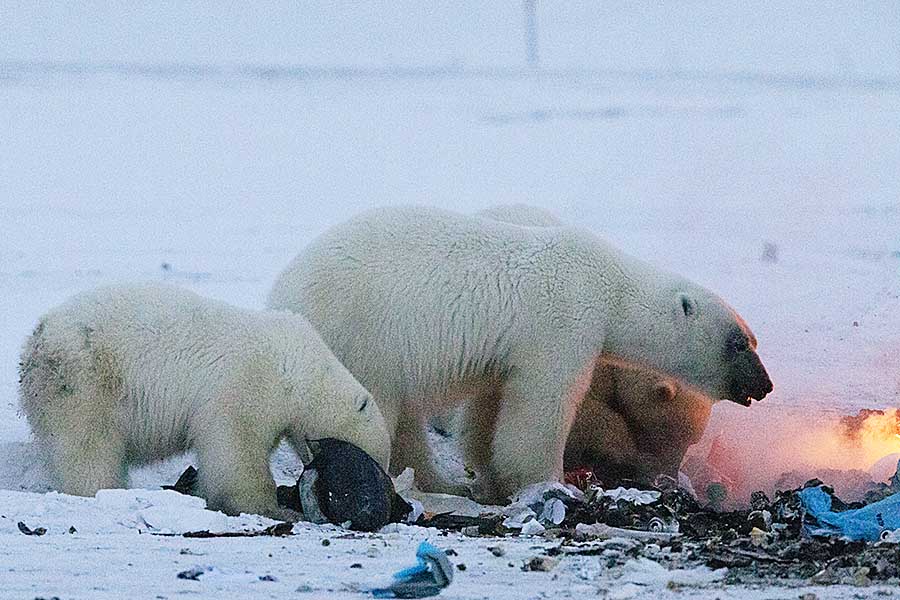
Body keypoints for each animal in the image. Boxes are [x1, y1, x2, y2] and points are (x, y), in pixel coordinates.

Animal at [18, 284, 390, 516]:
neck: (296, 366)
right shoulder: (246, 383)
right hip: (84, 380)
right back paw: (103, 489)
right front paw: (271, 506)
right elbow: (236, 446)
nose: (381, 493)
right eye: (375, 461)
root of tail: (36, 339)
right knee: (88, 445)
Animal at [266, 206, 768, 502]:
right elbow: (540, 407)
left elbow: (491, 407)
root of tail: (280, 295)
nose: (764, 386)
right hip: (363, 331)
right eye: (738, 342)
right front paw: (551, 482)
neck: (610, 287)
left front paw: (489, 475)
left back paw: (441, 482)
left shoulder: (508, 352)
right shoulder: (562, 322)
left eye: (752, 340)